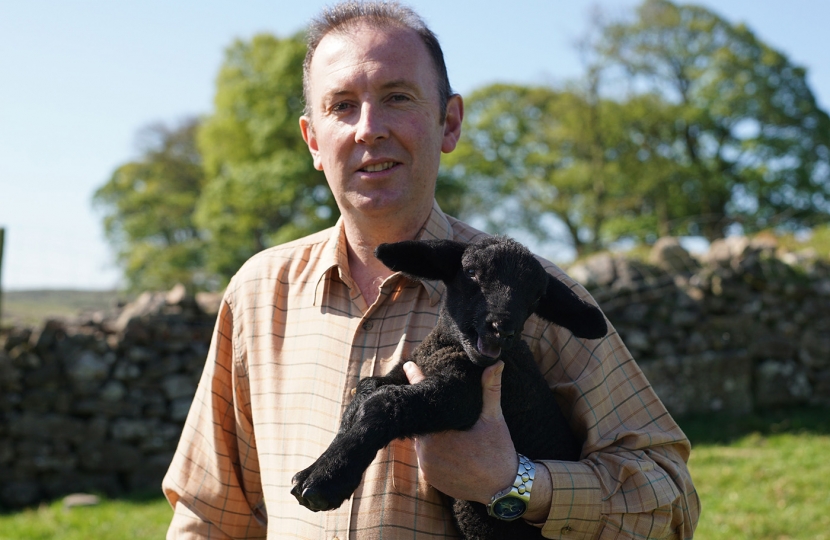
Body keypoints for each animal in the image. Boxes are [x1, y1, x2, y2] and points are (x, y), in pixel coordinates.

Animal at [290, 237, 608, 540]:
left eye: (537, 297)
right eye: (471, 273)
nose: (503, 329)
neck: (449, 347)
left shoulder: (462, 394)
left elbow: (384, 402)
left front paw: (327, 480)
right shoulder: (407, 370)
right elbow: (365, 392)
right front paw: (316, 466)